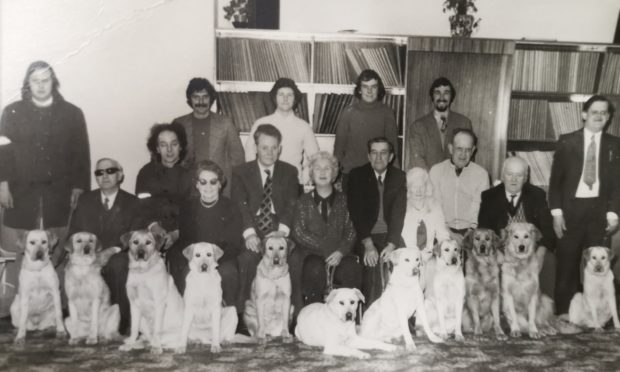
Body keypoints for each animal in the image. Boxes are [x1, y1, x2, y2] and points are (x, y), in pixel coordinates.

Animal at [117, 225, 183, 354]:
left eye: (148, 242)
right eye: (135, 242)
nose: (140, 253)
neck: (142, 272)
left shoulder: (159, 303)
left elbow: (157, 329)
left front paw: (156, 348)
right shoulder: (134, 304)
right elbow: (134, 329)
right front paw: (130, 344)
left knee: (167, 341)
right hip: (142, 322)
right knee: (146, 337)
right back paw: (136, 343)